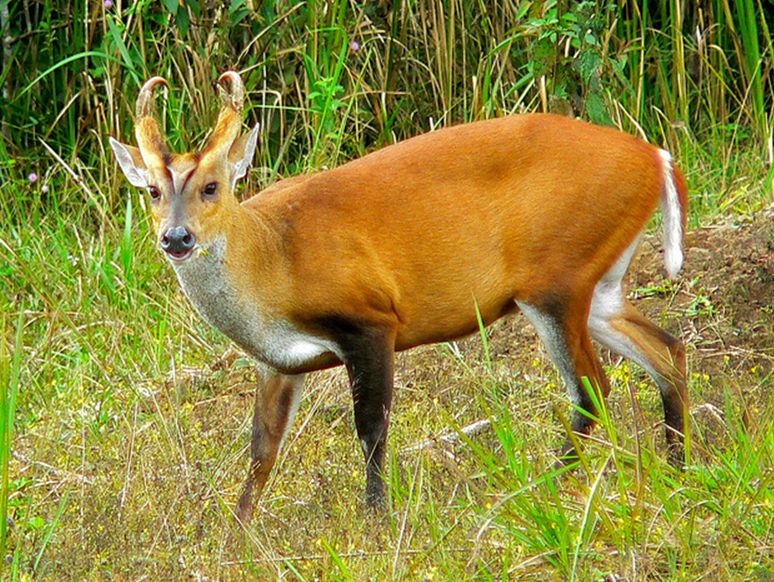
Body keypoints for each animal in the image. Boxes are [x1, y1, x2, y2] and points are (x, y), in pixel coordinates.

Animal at [109, 70, 692, 524]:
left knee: (594, 385)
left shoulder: (370, 319)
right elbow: (261, 451)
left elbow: (371, 428)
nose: (176, 238)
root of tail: (656, 157)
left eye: (212, 186)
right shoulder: (278, 363)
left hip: (555, 276)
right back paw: (678, 469)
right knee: (666, 349)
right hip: (598, 284)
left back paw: (538, 491)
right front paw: (238, 536)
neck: (273, 260)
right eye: (153, 191)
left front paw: (376, 519)